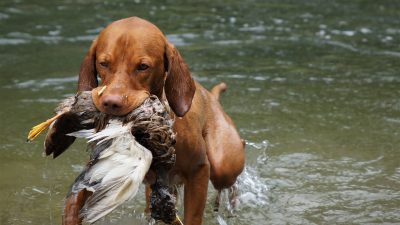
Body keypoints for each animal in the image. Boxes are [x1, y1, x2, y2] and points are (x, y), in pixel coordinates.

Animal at [63, 17, 244, 225]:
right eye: (103, 63)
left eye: (143, 66)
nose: (110, 102)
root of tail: (212, 97)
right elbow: (74, 200)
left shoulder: (198, 170)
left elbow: (192, 216)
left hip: (223, 164)